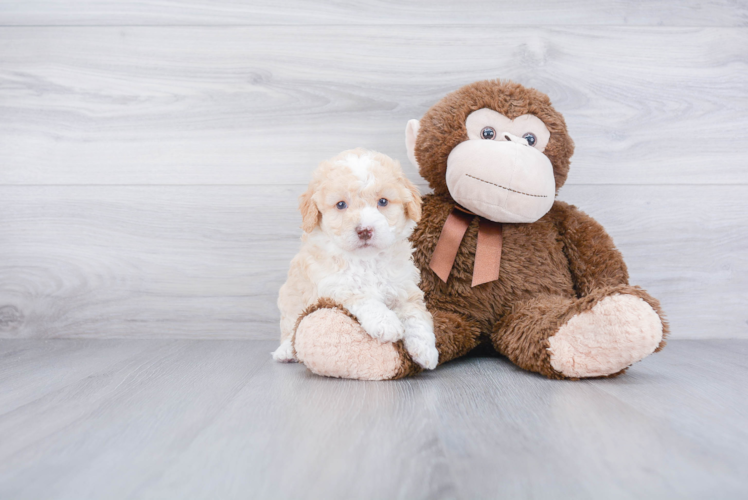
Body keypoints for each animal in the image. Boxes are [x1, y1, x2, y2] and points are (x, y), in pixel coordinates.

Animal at [274, 147, 438, 368]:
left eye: (383, 202)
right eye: (341, 204)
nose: (365, 230)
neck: (367, 261)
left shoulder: (405, 289)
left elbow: (415, 315)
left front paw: (426, 350)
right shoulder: (335, 286)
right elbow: (364, 298)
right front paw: (387, 323)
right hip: (290, 300)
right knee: (290, 329)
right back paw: (285, 351)